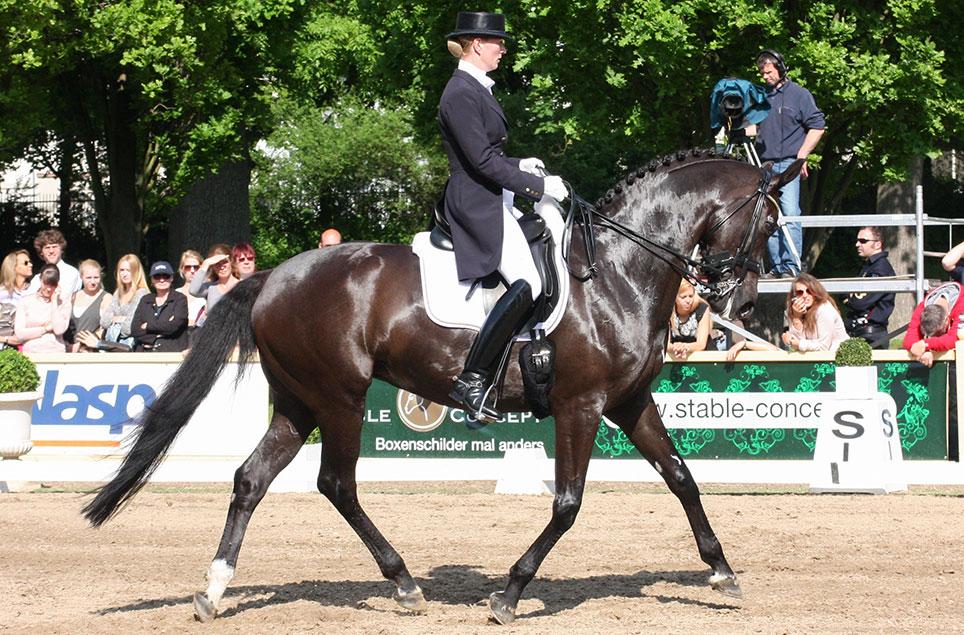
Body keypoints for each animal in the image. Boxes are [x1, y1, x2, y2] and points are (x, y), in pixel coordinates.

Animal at [84, 152, 804, 624]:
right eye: (769, 223)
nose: (742, 300)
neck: (618, 273)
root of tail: (273, 276)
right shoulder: (581, 405)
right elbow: (568, 503)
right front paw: (509, 594)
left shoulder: (628, 403)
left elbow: (682, 477)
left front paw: (722, 571)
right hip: (340, 400)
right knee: (336, 483)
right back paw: (402, 582)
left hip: (297, 403)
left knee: (251, 480)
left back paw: (214, 590)